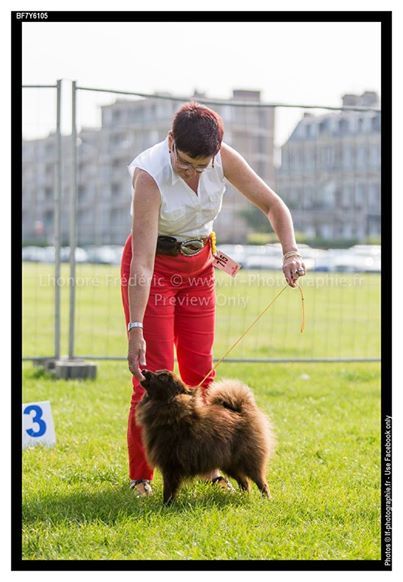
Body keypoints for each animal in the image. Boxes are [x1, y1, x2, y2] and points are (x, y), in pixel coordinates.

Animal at [137, 372, 276, 504]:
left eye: (162, 377)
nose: (144, 370)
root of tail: (241, 410)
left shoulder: (170, 465)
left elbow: (168, 489)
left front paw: (166, 505)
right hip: (230, 464)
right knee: (245, 482)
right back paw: (243, 496)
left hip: (247, 460)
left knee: (261, 482)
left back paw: (266, 499)